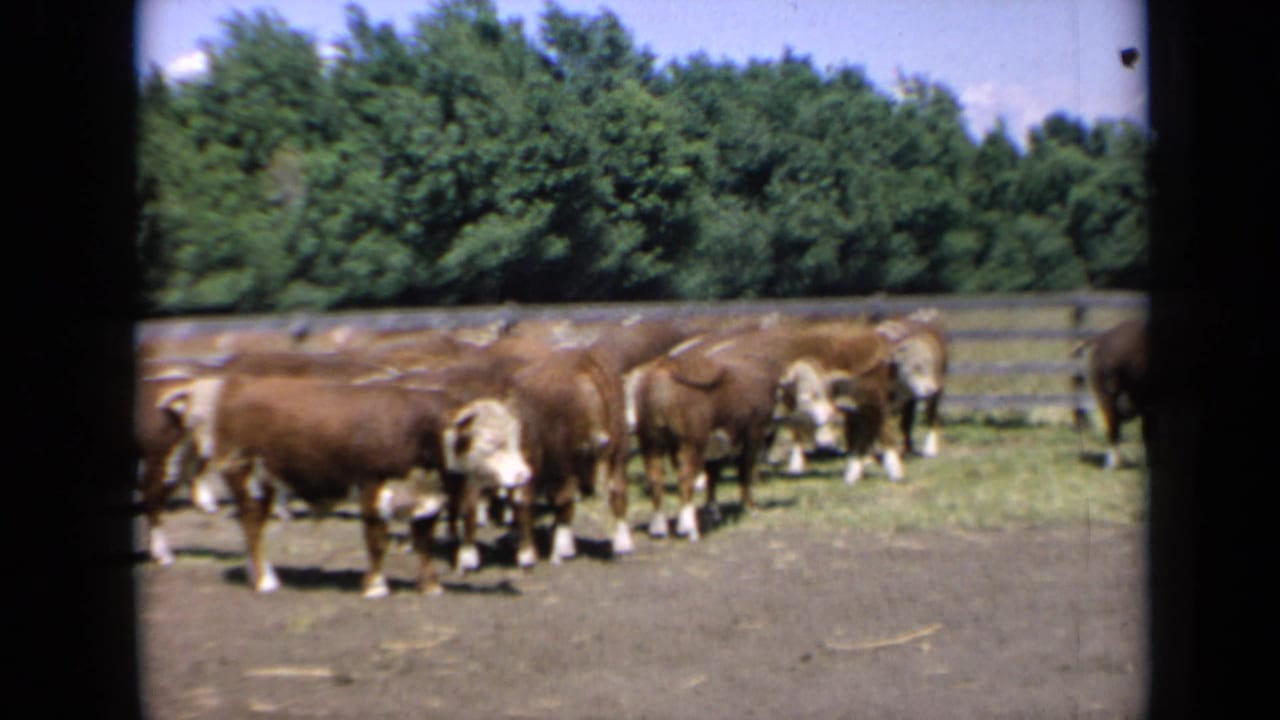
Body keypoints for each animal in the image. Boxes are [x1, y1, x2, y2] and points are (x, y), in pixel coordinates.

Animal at [195, 374, 532, 596]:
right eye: (491, 442)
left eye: (515, 438)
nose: (523, 476)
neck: (419, 433)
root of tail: (240, 385)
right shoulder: (373, 489)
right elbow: (377, 541)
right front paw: (376, 586)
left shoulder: (427, 499)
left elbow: (424, 542)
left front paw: (431, 585)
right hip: (244, 474)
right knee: (252, 526)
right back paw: (265, 581)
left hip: (266, 483)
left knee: (253, 524)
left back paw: (257, 572)